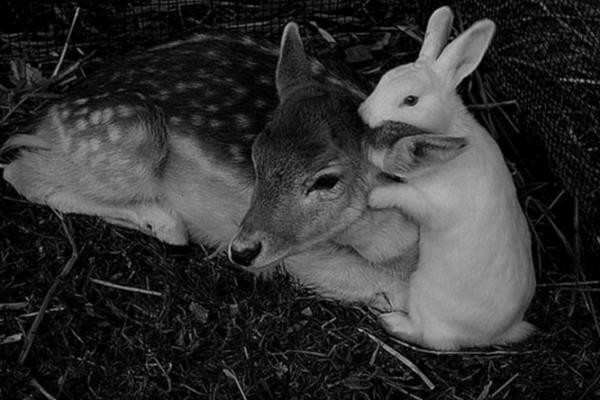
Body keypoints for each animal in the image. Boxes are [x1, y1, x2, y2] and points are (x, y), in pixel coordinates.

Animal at [358, 7, 536, 350]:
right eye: (384, 78)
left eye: (410, 100)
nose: (363, 112)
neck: (452, 130)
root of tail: (501, 332)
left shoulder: (434, 203)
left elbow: (404, 196)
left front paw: (374, 197)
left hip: (422, 291)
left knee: (429, 336)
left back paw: (392, 322)